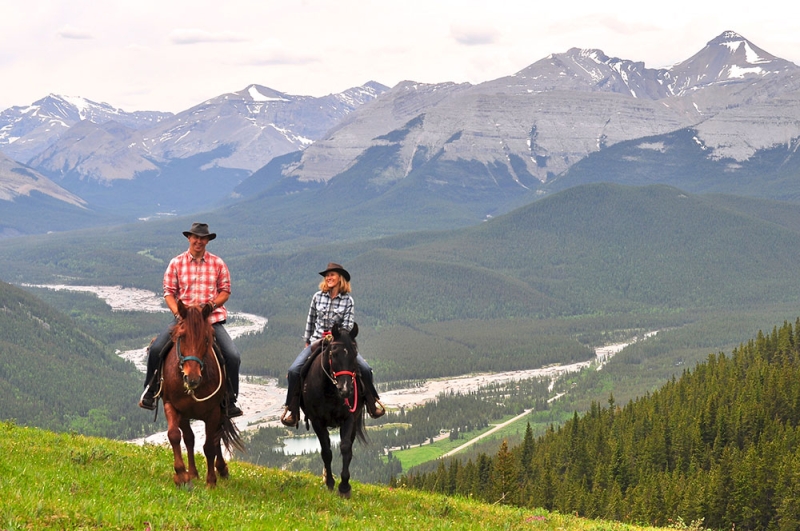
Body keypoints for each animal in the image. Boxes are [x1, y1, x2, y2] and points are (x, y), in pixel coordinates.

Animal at [157, 300, 242, 486]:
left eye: (206, 338)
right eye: (181, 336)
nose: (192, 378)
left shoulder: (213, 412)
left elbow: (209, 446)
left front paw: (211, 481)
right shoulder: (173, 406)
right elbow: (175, 435)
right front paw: (182, 474)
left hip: (221, 412)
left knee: (216, 438)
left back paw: (221, 469)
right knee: (190, 439)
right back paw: (193, 473)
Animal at [298, 322, 368, 500]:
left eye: (355, 353)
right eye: (334, 354)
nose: (346, 390)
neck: (330, 391)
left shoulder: (349, 418)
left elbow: (345, 448)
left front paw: (344, 487)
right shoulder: (317, 421)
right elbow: (326, 452)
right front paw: (330, 483)